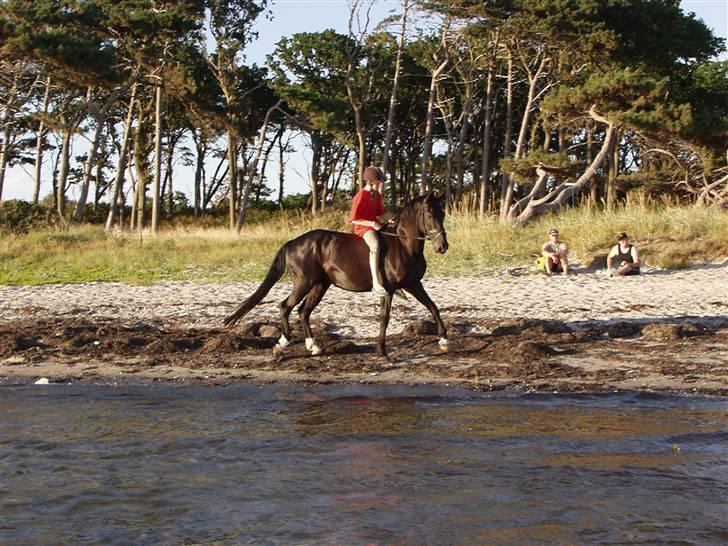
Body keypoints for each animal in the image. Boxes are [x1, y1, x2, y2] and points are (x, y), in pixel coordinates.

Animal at [222, 189, 450, 354]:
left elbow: (433, 307)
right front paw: (381, 350)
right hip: (304, 282)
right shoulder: (390, 289)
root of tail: (292, 242)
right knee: (286, 306)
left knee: (303, 311)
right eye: (430, 214)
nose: (443, 247)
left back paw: (314, 346)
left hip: (320, 284)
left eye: (443, 213)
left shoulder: (413, 284)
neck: (403, 245)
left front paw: (444, 339)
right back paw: (283, 343)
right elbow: (385, 318)